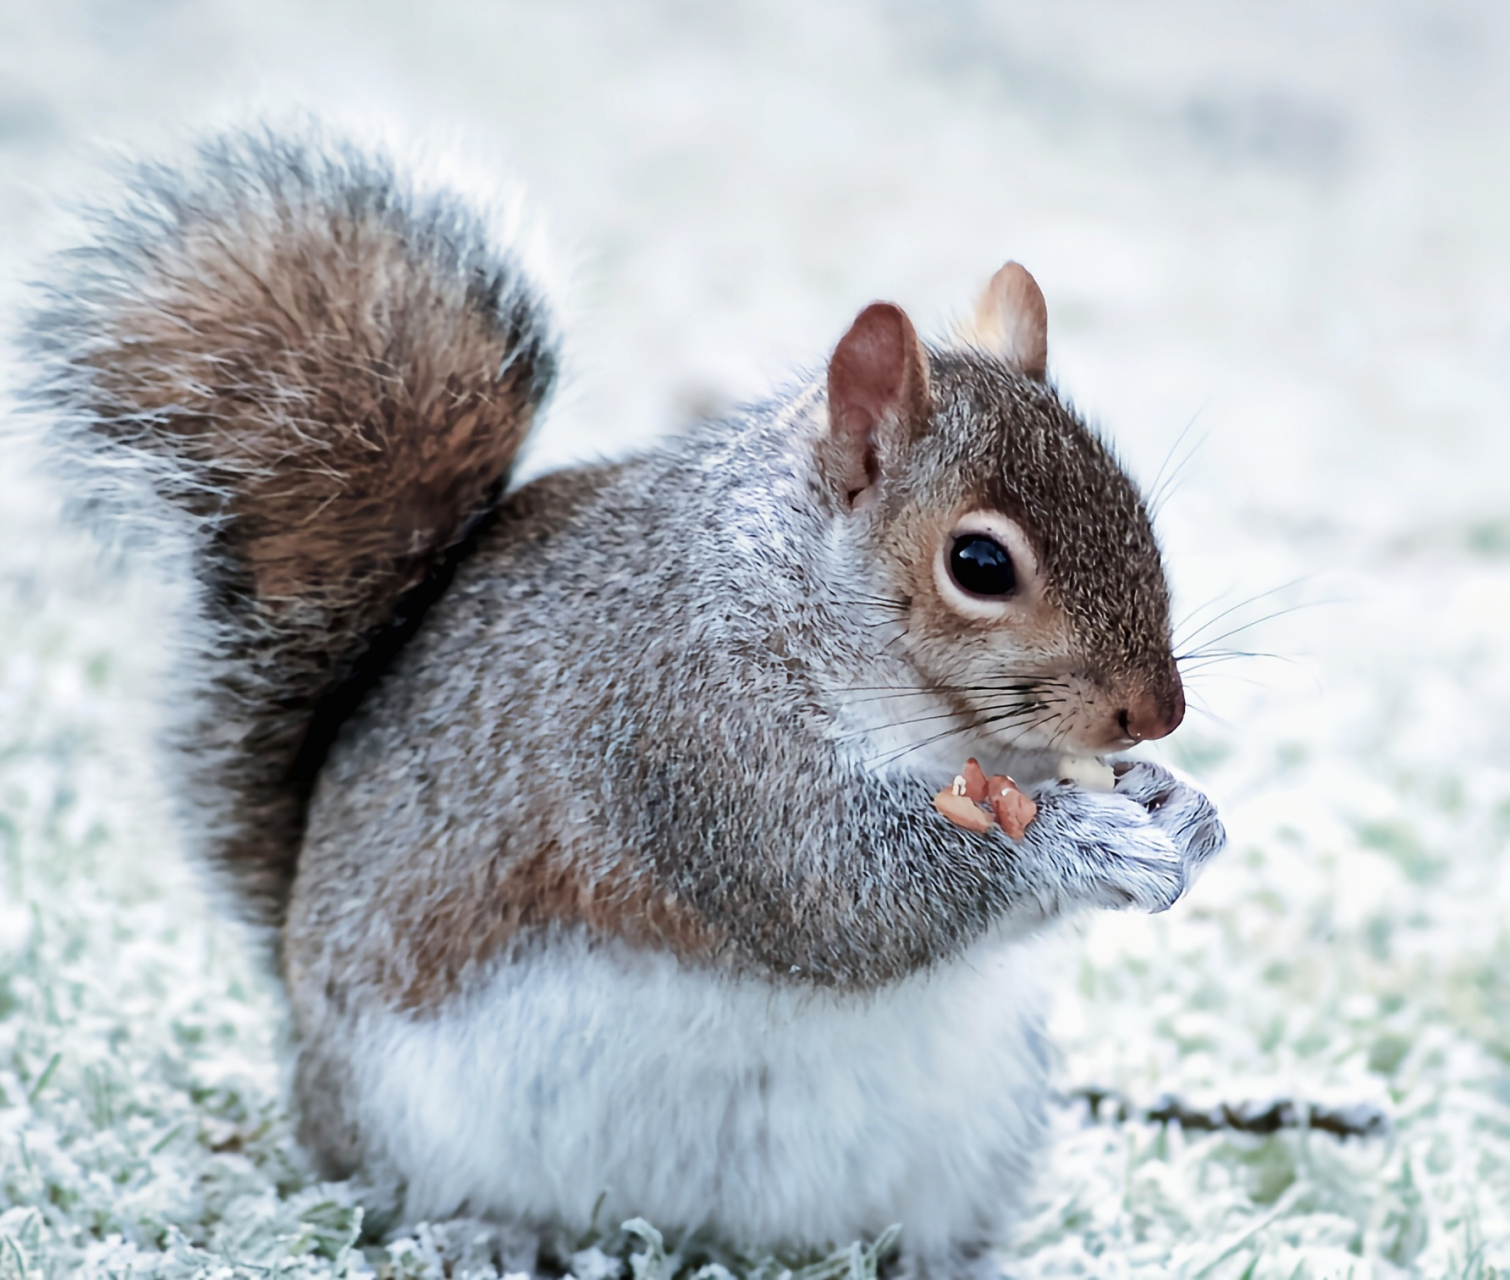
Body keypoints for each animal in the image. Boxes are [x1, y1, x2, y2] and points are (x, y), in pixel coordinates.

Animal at [23, 132, 1226, 1280]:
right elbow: (839, 891)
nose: (1155, 714)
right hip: (412, 1116)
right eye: (978, 562)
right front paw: (1077, 838)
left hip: (978, 1122)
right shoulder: (682, 728)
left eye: (1134, 504)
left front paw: (1182, 809)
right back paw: (481, 1235)